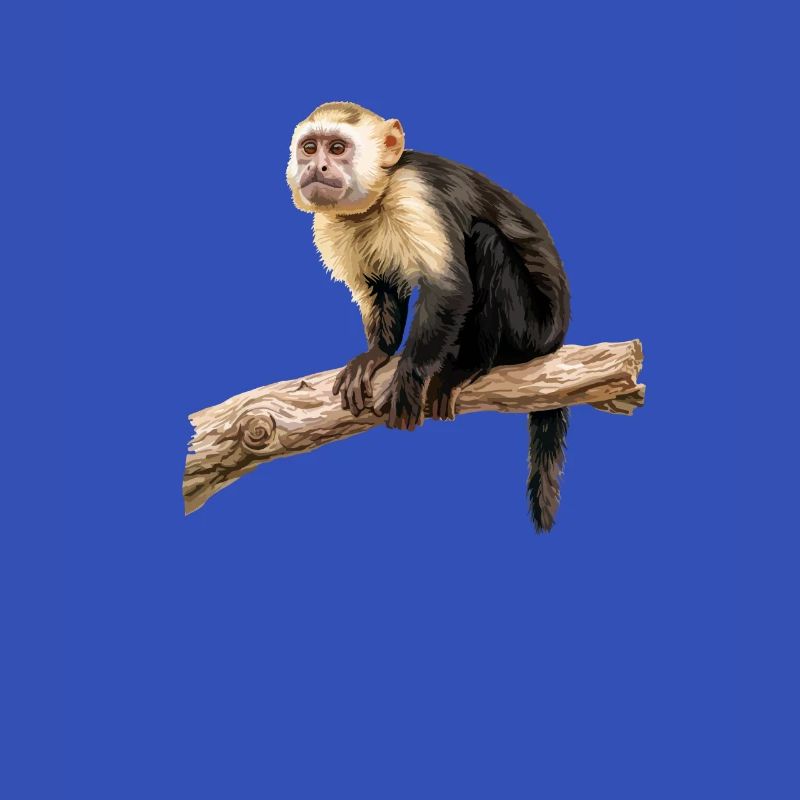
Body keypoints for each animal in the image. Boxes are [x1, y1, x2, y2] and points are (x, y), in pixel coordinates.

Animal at [286, 102, 571, 532]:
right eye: (309, 148)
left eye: (336, 148)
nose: (316, 167)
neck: (378, 196)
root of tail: (557, 338)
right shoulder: (334, 225)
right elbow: (380, 288)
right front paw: (378, 354)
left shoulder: (415, 194)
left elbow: (449, 288)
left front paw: (409, 376)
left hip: (534, 330)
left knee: (486, 242)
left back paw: (471, 364)